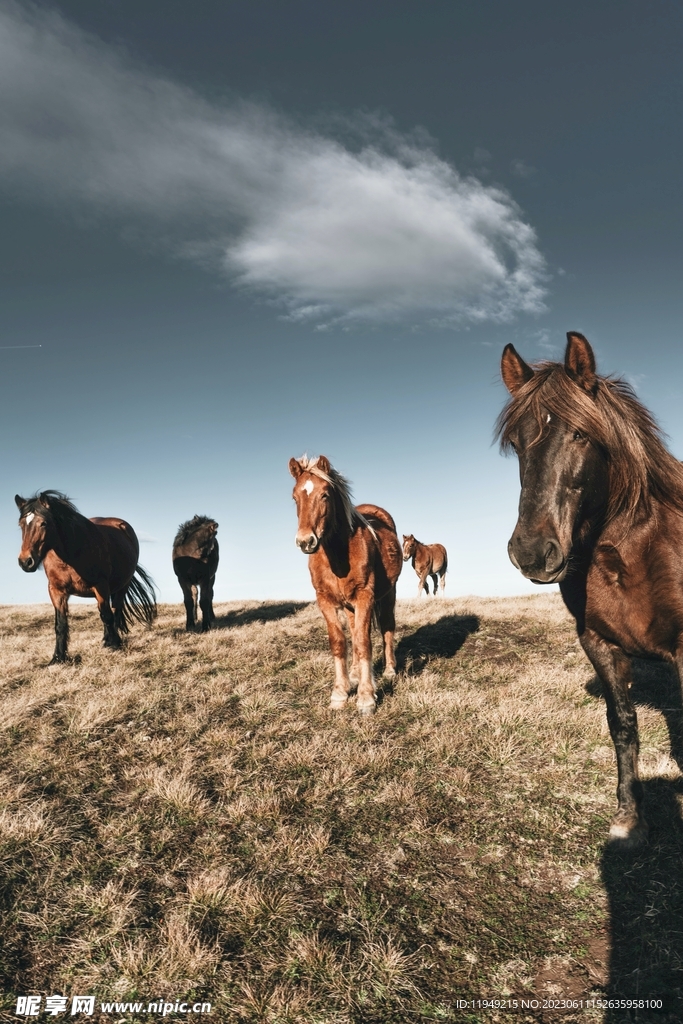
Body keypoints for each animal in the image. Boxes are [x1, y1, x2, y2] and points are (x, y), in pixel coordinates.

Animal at [15, 491, 157, 664]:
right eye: (21, 525)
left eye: (43, 523)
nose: (25, 562)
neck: (70, 555)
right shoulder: (56, 590)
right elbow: (60, 624)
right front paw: (58, 657)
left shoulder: (100, 586)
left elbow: (107, 616)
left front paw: (114, 645)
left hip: (122, 586)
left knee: (114, 611)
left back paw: (111, 640)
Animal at [289, 455, 403, 715]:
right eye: (295, 497)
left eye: (324, 495)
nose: (305, 541)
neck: (338, 554)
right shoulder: (325, 600)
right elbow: (340, 642)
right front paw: (340, 693)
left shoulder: (365, 596)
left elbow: (363, 643)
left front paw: (366, 698)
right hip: (351, 607)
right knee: (354, 630)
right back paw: (355, 674)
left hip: (388, 594)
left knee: (387, 628)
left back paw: (389, 670)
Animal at [498, 330, 683, 847]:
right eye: (516, 443)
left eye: (581, 434)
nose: (531, 552)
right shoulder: (599, 644)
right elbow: (622, 726)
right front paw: (630, 818)